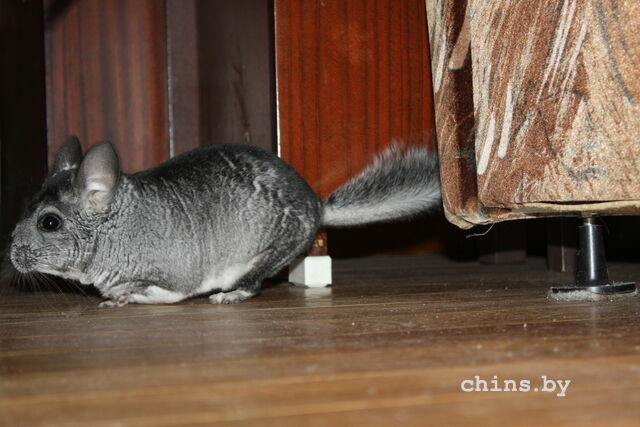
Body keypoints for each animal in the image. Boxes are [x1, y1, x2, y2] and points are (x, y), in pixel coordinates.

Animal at [9, 137, 440, 306]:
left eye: (49, 223)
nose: (11, 253)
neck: (118, 226)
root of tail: (318, 207)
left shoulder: (172, 275)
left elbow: (156, 291)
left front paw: (121, 297)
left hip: (264, 254)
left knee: (252, 286)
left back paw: (226, 296)